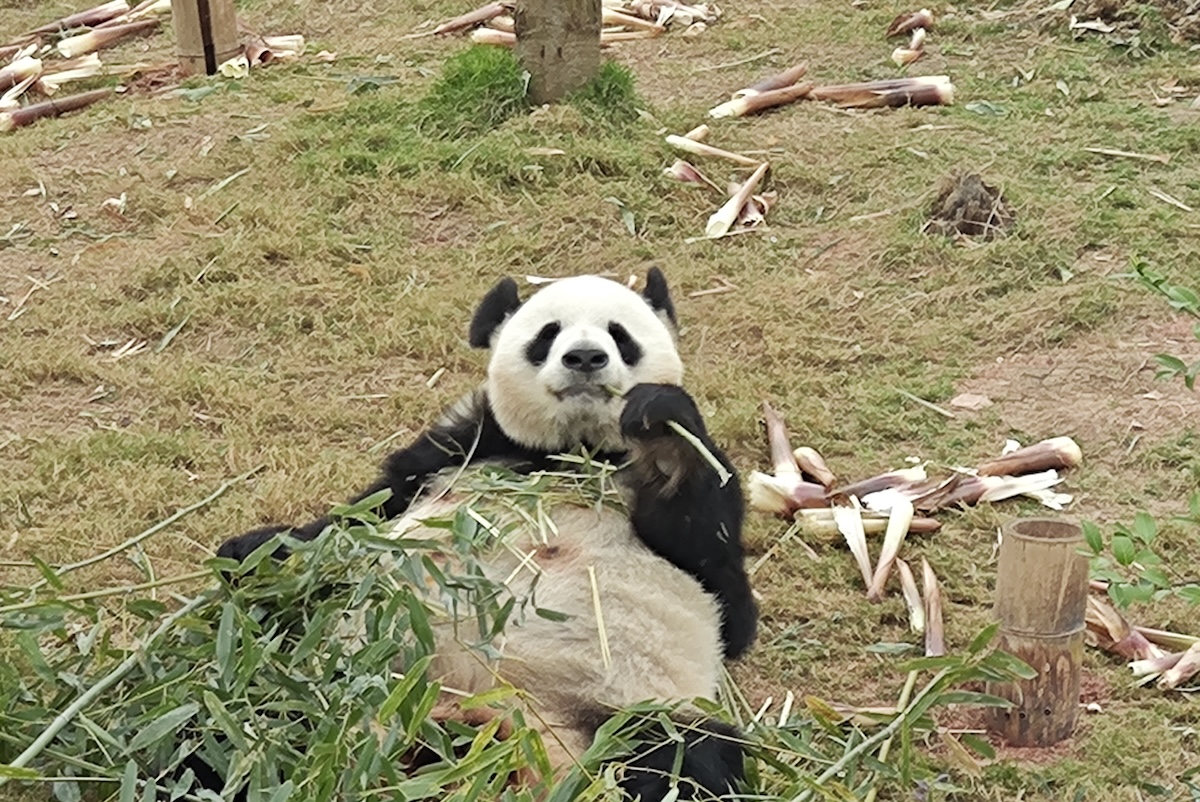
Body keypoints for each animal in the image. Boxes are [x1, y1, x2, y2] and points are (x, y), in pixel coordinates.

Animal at [216, 269, 758, 799]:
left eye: (620, 336)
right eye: (548, 334)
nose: (585, 358)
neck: (571, 450)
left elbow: (724, 591)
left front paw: (662, 434)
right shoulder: (460, 448)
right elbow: (361, 514)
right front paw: (259, 549)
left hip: (632, 710)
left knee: (681, 760)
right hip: (324, 667)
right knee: (249, 706)